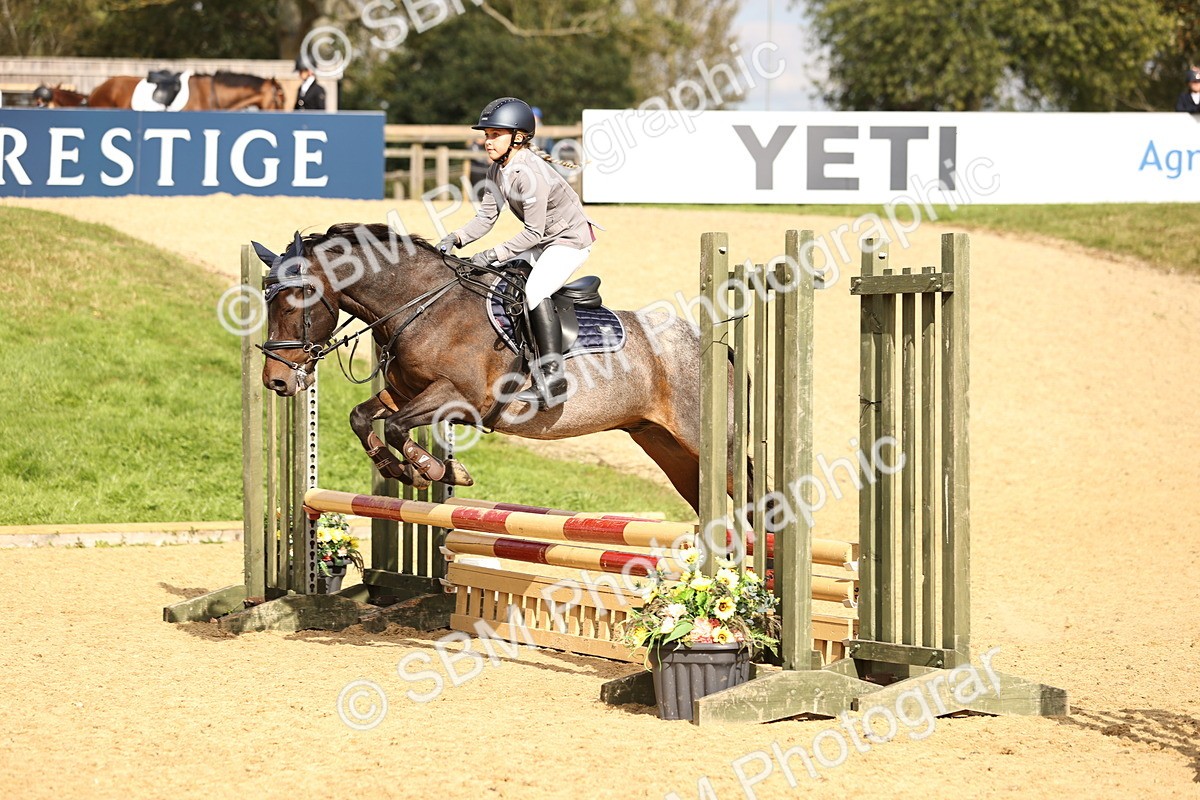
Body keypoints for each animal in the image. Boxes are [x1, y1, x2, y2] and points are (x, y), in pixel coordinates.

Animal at [255, 224, 740, 515]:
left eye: (295, 299)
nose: (276, 380)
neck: (423, 306)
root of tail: (710, 344)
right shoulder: (407, 393)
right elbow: (363, 418)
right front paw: (404, 470)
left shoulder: (460, 397)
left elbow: (394, 427)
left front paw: (435, 470)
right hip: (665, 445)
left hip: (703, 442)